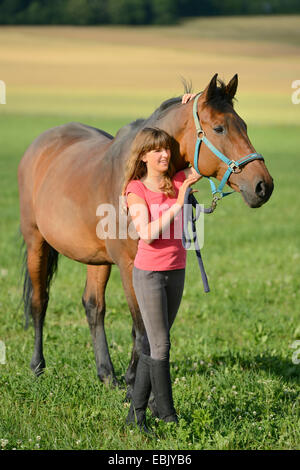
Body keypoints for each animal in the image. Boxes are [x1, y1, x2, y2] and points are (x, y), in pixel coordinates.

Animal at [17, 75, 274, 406]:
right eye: (219, 128)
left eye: (243, 125)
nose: (263, 186)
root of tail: (40, 144)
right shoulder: (130, 267)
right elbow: (140, 328)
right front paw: (133, 387)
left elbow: (153, 329)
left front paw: (143, 391)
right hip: (36, 241)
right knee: (40, 301)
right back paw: (38, 367)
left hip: (96, 259)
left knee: (93, 306)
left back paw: (107, 375)